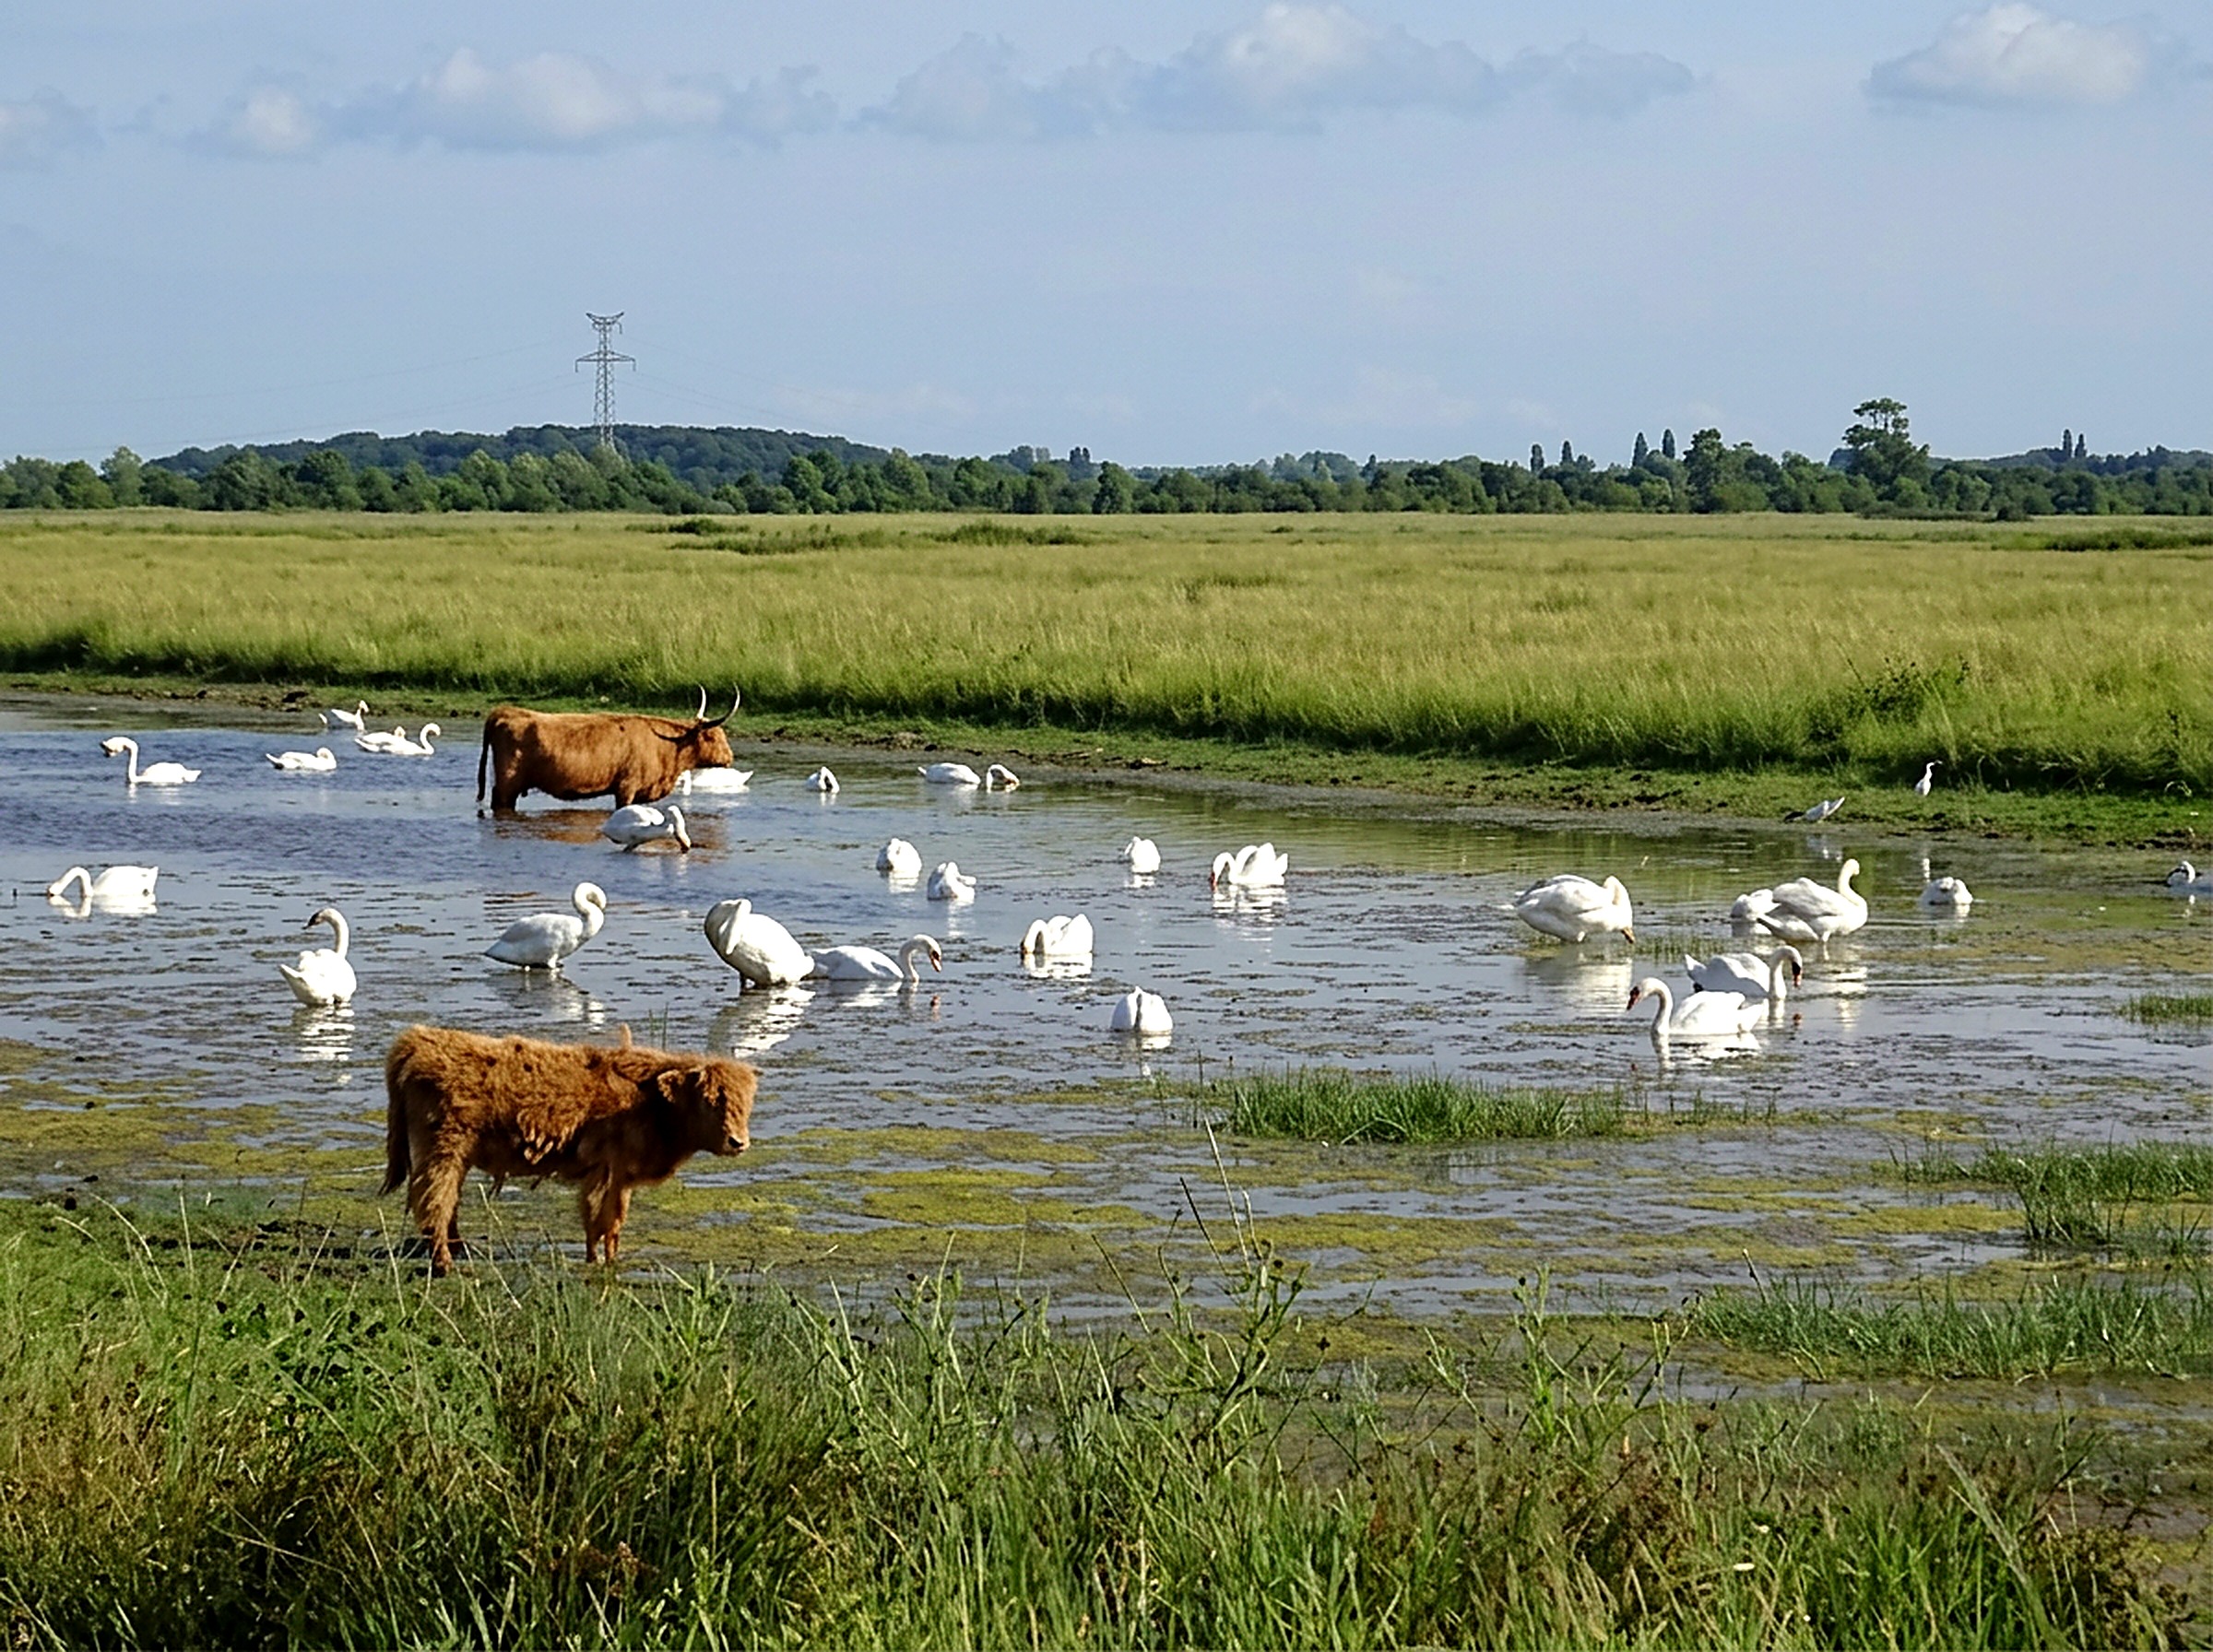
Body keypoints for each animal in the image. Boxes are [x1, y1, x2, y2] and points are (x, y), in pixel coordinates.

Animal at [382, 1023, 757, 1276]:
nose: (738, 1142)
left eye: (746, 1104)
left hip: (453, 1157)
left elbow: (607, 1223)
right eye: (710, 1101)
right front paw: (599, 1261)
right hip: (443, 1151)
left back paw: (458, 1251)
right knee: (435, 1202)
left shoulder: (617, 1177)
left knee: (447, 1202)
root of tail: (417, 1039)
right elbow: (602, 1220)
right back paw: (444, 1262)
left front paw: (604, 1259)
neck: (649, 1102)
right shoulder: (607, 1171)